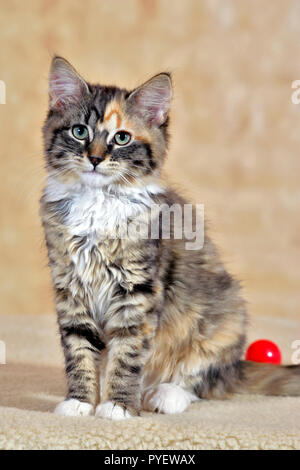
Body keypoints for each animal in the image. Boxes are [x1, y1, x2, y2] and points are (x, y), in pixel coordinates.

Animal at [40, 57, 300, 420]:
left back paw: (165, 395)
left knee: (204, 381)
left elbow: (127, 354)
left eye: (121, 138)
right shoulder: (71, 287)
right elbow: (79, 350)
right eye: (80, 132)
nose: (95, 158)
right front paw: (80, 402)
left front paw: (118, 405)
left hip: (224, 317)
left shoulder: (138, 289)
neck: (97, 201)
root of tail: (237, 366)